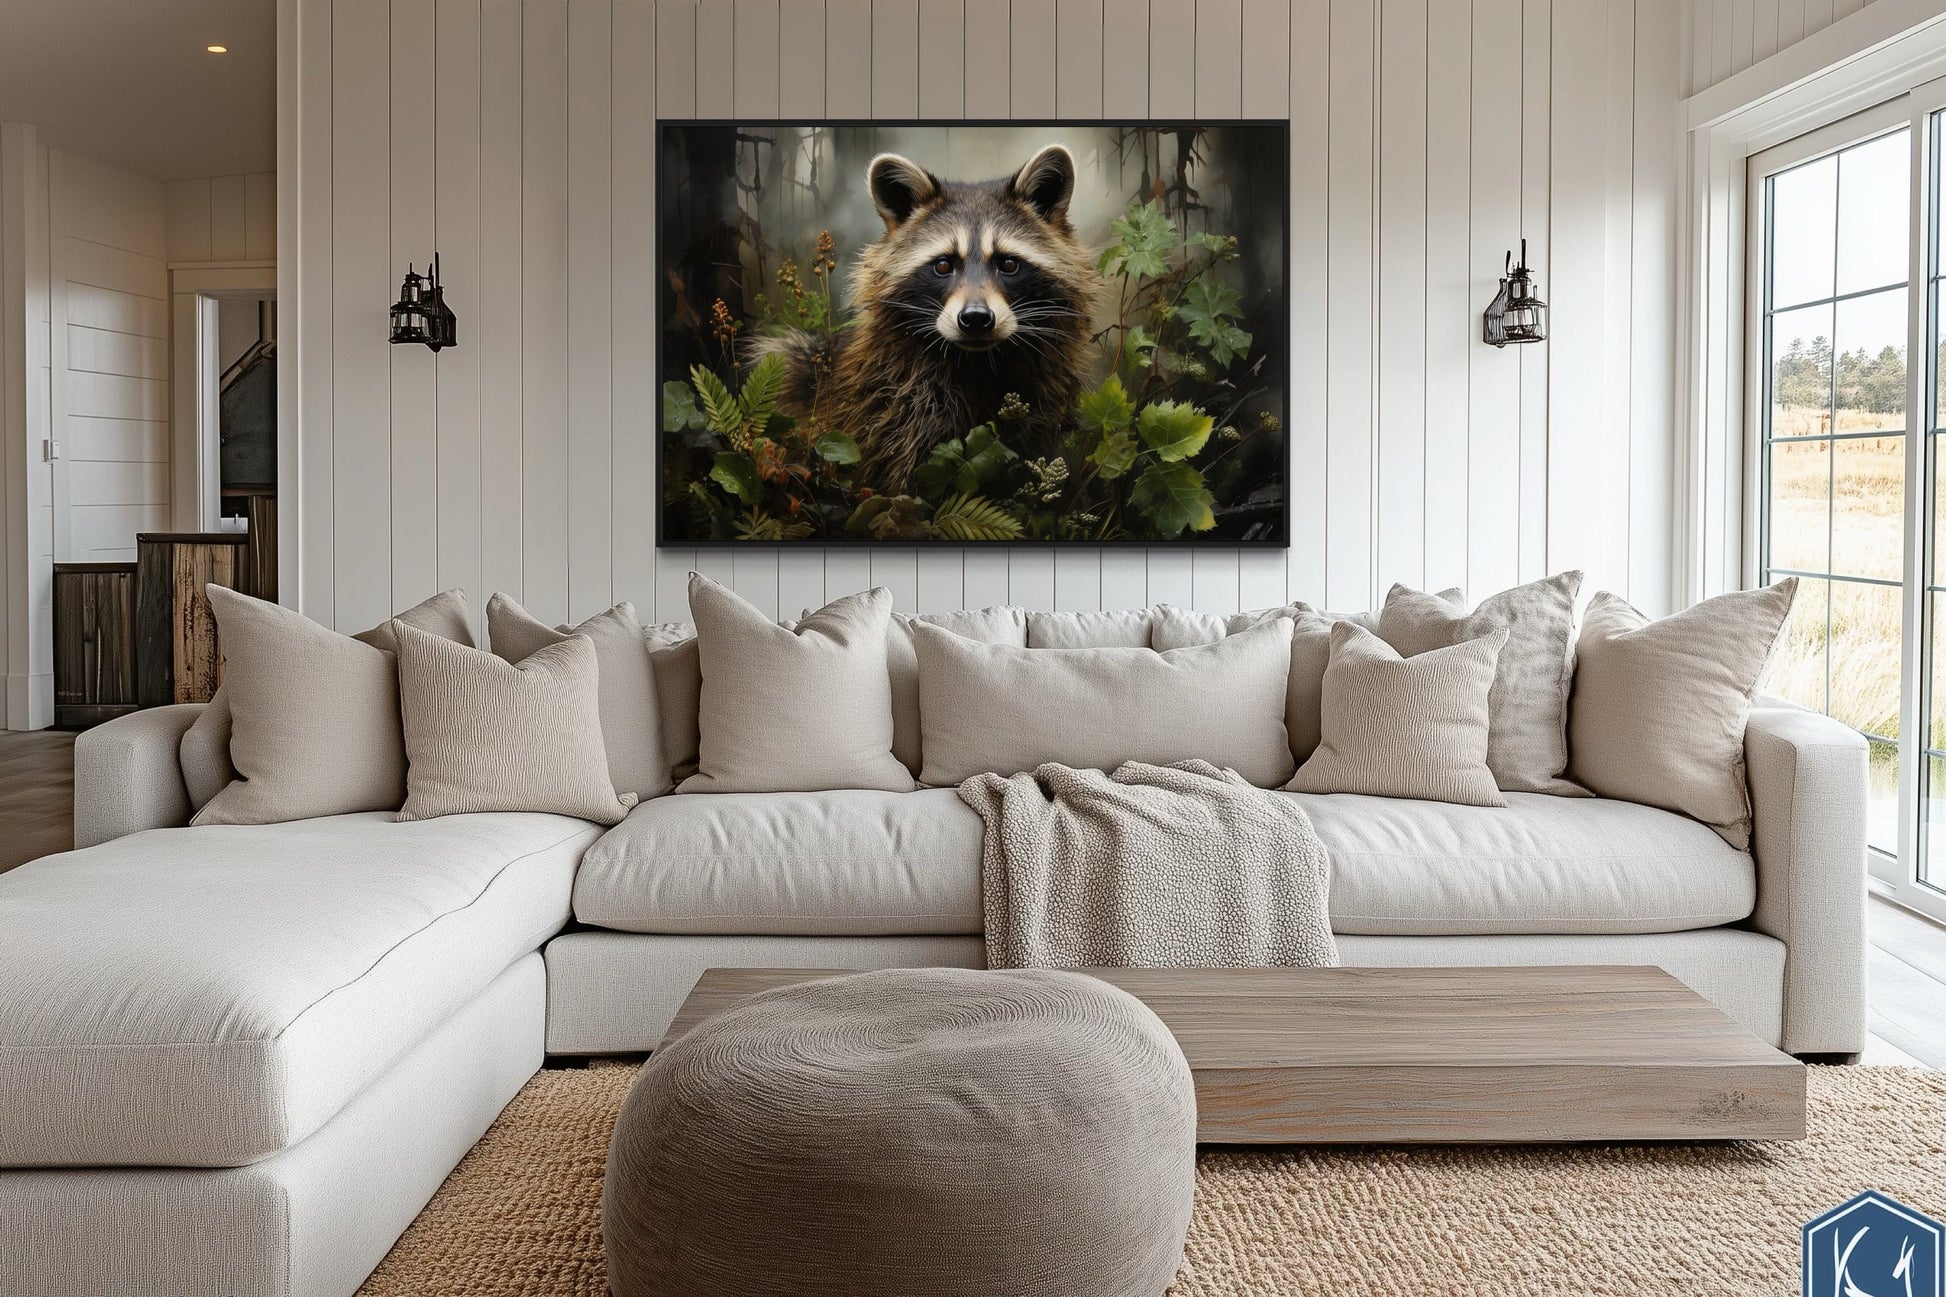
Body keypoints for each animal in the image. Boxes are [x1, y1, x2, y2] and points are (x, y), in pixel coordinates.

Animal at [759, 145, 1100, 497]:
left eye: (1008, 263)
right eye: (943, 265)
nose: (975, 319)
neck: (978, 363)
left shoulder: (1038, 398)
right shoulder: (898, 403)